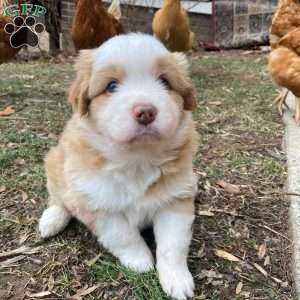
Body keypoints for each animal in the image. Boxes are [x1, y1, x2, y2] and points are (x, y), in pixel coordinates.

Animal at [39, 32, 199, 300]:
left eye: (165, 82)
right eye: (111, 86)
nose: (146, 112)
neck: (137, 159)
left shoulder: (176, 199)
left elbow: (172, 244)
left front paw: (177, 280)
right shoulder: (95, 204)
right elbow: (123, 235)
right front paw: (140, 261)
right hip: (55, 163)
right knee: (59, 198)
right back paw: (51, 221)